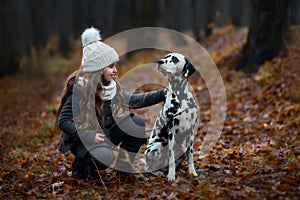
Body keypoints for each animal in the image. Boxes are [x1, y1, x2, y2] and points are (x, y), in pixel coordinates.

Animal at [144, 52, 198, 180]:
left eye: (175, 59)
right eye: (165, 57)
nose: (159, 61)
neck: (181, 97)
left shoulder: (191, 131)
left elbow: (190, 154)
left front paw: (192, 172)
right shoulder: (172, 132)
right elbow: (171, 156)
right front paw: (171, 176)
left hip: (181, 148)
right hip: (155, 148)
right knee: (149, 168)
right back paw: (158, 172)